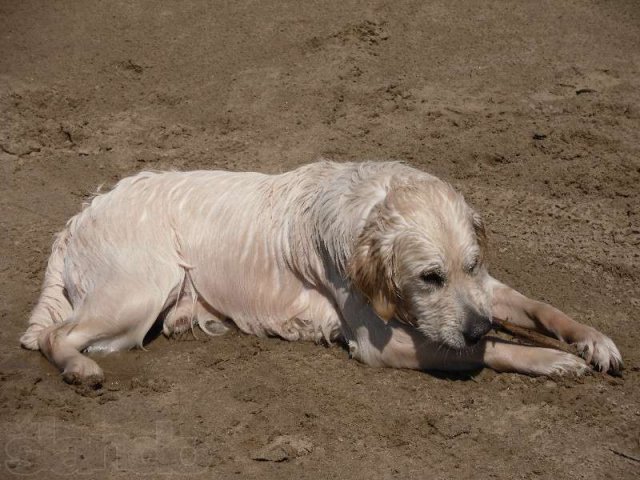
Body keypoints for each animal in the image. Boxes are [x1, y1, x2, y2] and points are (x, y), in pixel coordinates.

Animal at [22, 162, 624, 386]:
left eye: (470, 264)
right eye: (428, 277)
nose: (476, 325)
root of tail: (80, 215)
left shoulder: (483, 290)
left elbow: (541, 308)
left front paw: (594, 341)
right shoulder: (380, 344)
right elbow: (490, 349)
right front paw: (551, 360)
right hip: (138, 293)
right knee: (56, 335)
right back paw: (79, 368)